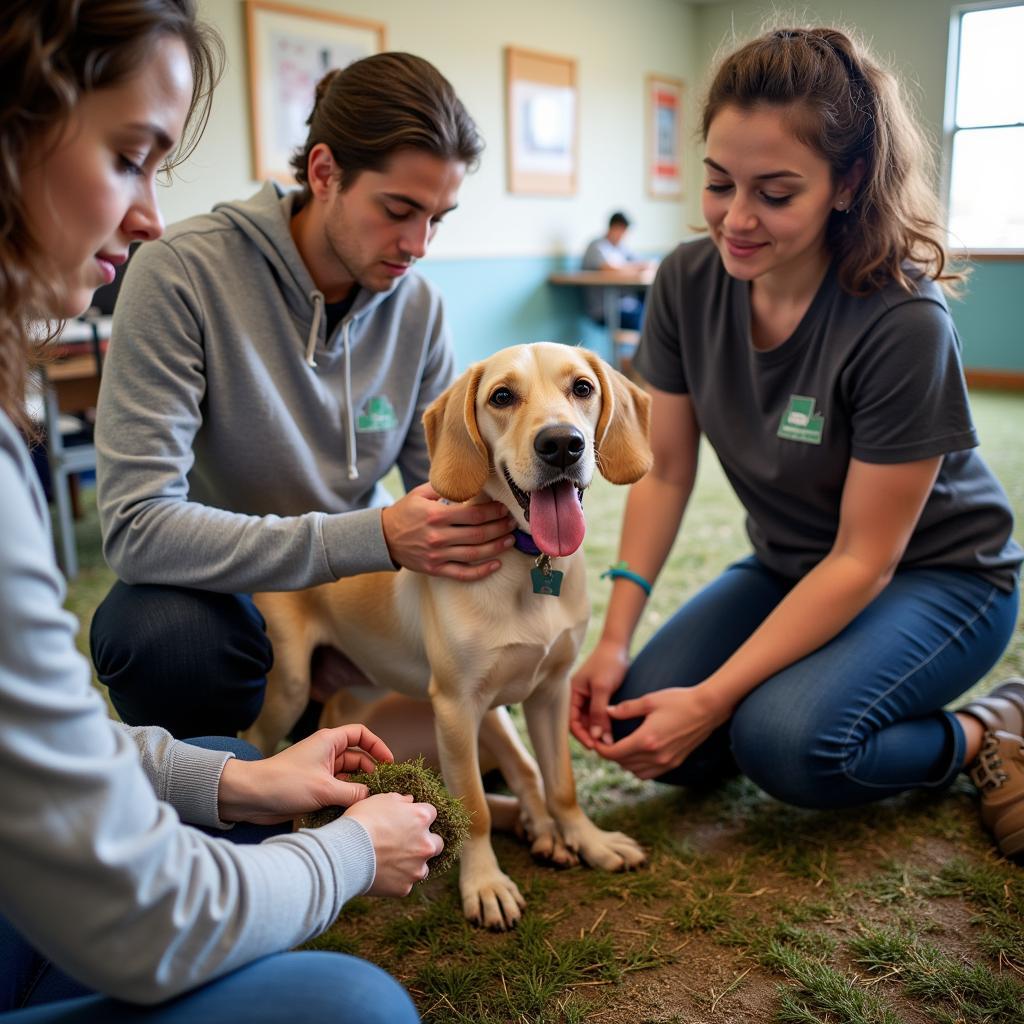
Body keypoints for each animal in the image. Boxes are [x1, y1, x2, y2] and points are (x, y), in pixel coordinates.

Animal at [243, 342, 651, 929]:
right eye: (502, 396)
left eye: (582, 388)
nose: (561, 444)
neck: (527, 565)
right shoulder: (458, 708)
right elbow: (473, 808)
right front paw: (484, 884)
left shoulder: (547, 693)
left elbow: (560, 782)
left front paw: (586, 840)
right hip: (291, 689)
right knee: (254, 746)